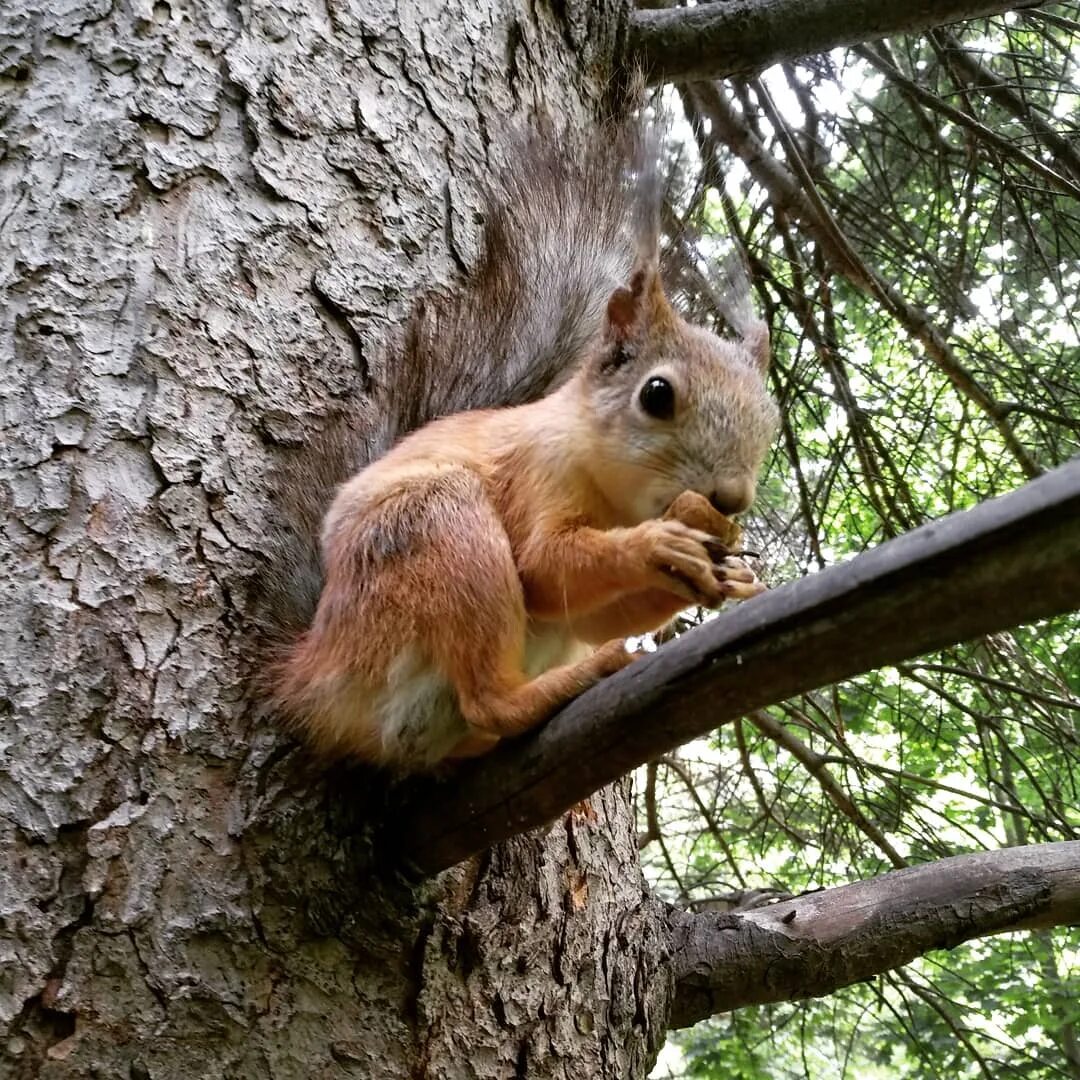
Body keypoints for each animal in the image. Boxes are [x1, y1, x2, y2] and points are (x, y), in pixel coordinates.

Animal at [257, 122, 781, 773]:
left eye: (772, 418)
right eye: (657, 394)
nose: (732, 499)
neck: (616, 496)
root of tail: (317, 677)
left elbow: (594, 612)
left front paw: (725, 573)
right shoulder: (537, 471)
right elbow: (542, 568)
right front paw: (656, 545)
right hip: (438, 531)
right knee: (491, 701)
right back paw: (582, 675)